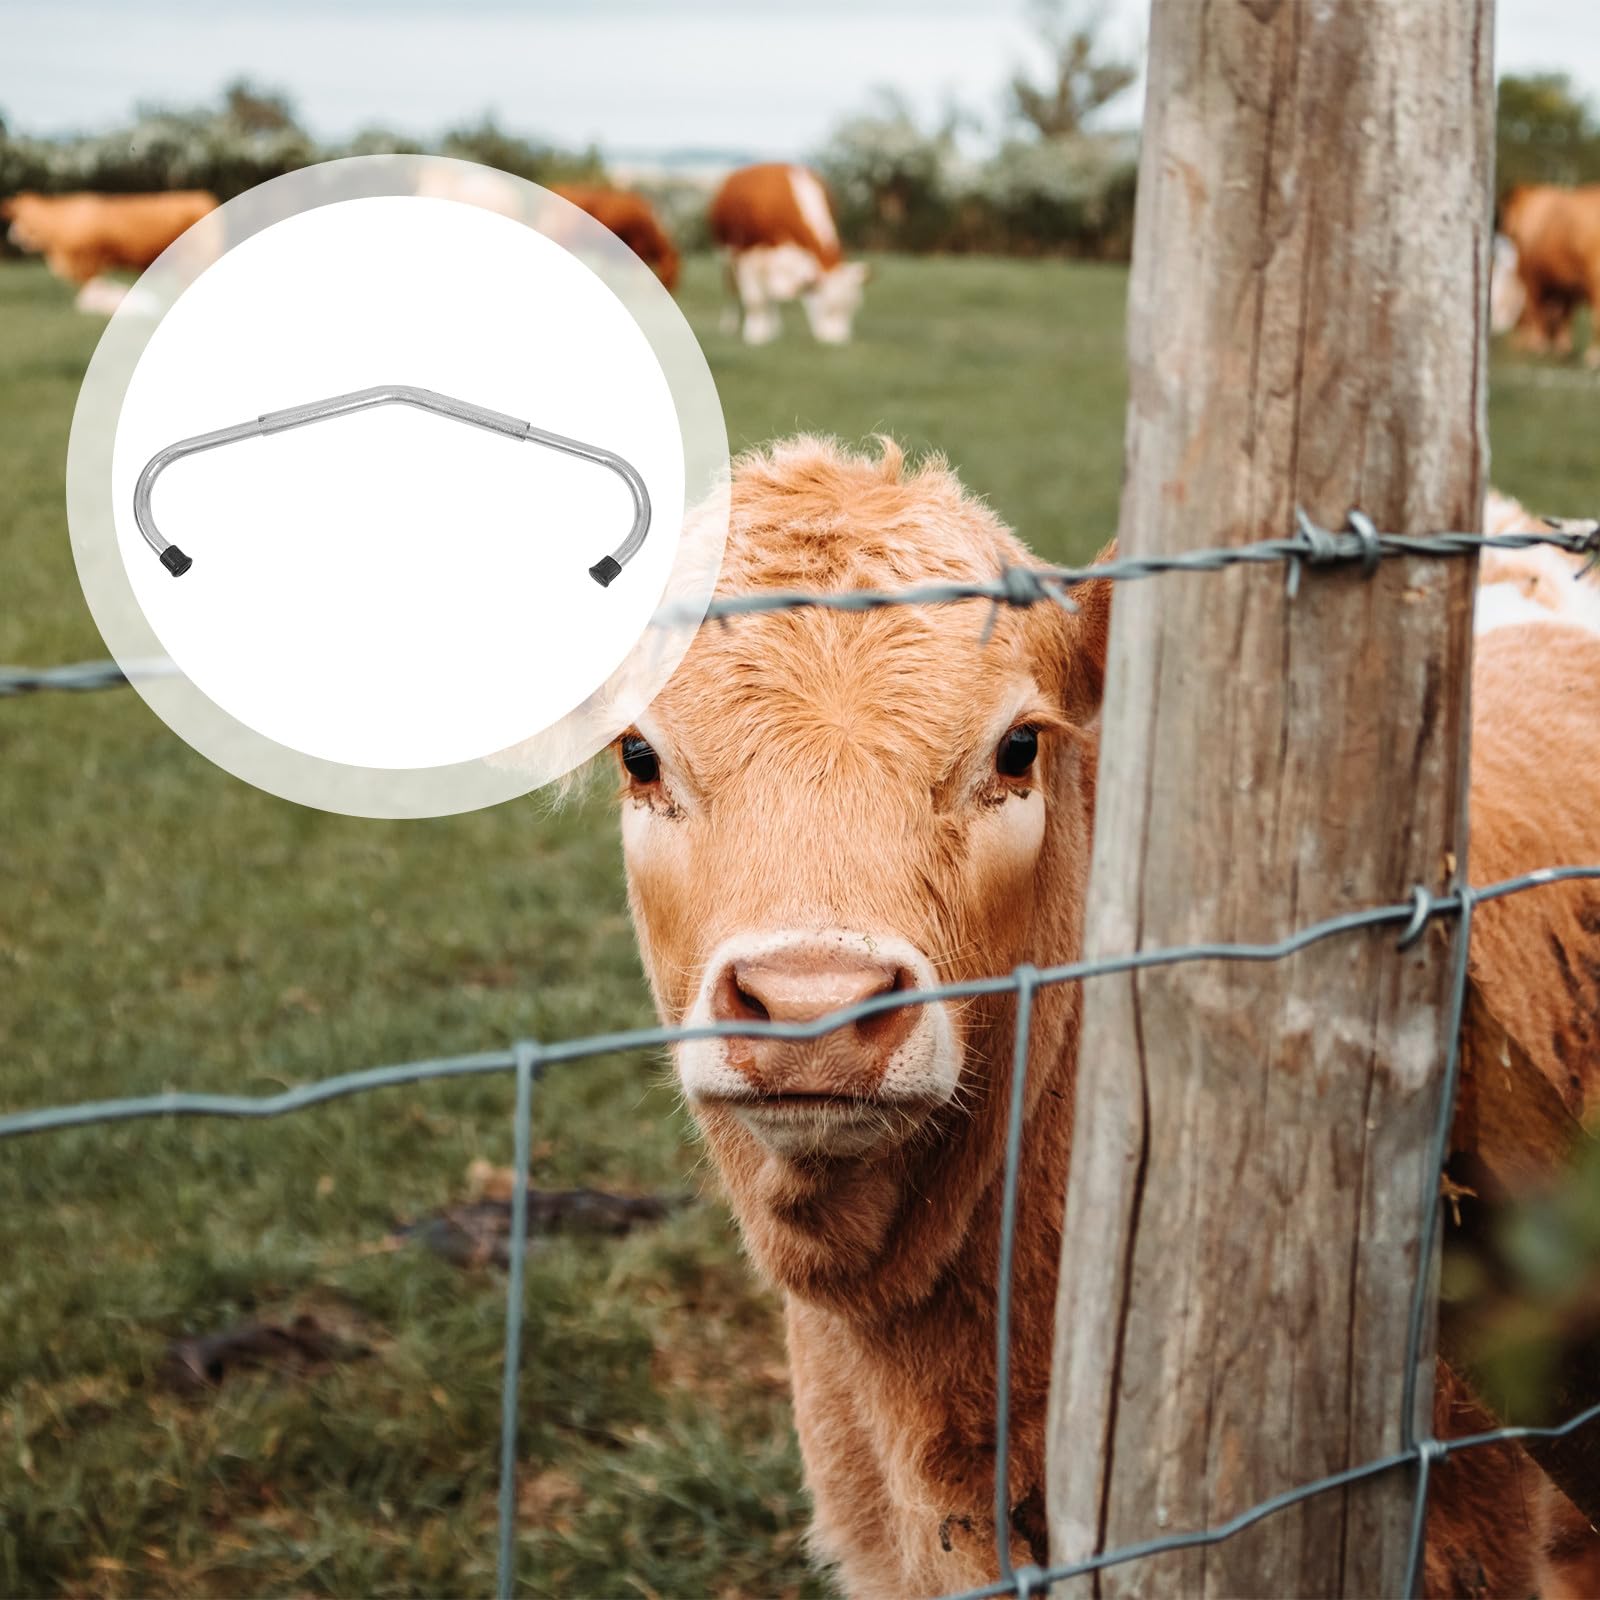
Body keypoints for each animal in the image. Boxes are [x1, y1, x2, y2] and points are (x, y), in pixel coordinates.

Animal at [708, 163, 869, 344]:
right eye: (828, 307)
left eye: (852, 307)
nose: (838, 341)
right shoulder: (747, 255)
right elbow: (754, 299)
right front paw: (755, 335)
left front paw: (768, 331)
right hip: (725, 254)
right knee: (731, 288)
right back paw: (730, 324)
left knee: (769, 294)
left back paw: (773, 327)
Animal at [1499, 183, 1600, 362]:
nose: (1513, 339)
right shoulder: (1568, 286)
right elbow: (1565, 314)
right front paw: (1562, 346)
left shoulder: (1531, 279)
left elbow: (1537, 309)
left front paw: (1539, 345)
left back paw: (1592, 356)